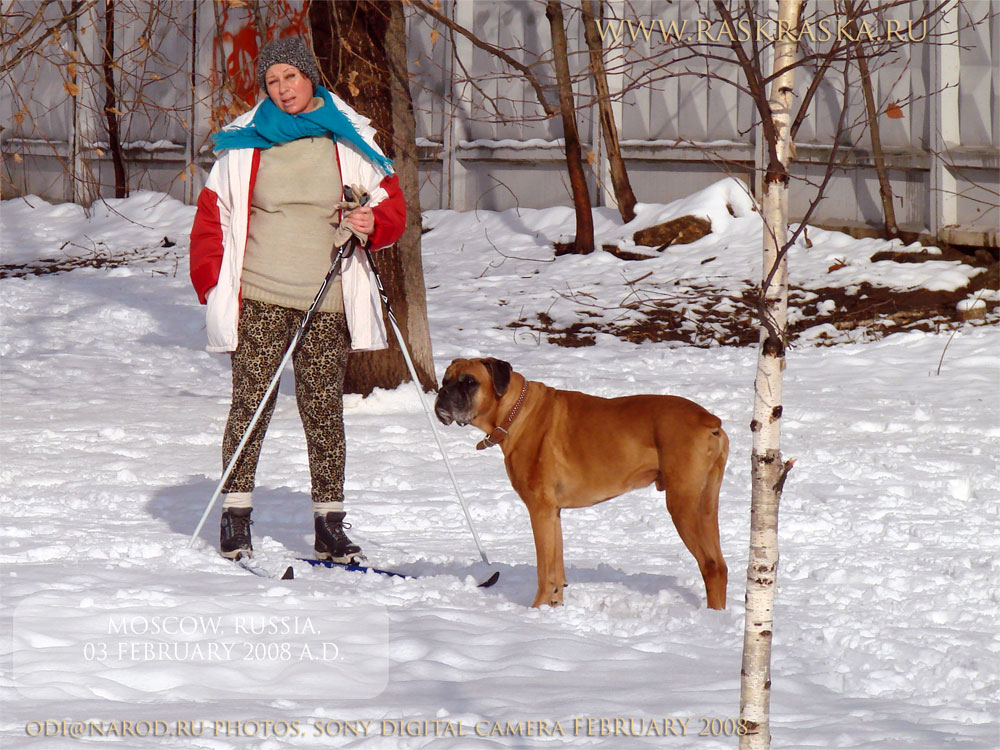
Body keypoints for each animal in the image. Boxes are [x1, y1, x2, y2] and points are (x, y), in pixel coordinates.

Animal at [434, 358, 732, 612]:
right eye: (445, 379)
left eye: (469, 381)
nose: (442, 392)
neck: (514, 413)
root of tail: (709, 419)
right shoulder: (552, 514)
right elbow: (556, 567)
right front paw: (554, 607)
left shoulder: (539, 511)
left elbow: (544, 569)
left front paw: (536, 610)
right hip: (707, 507)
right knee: (721, 565)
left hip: (682, 507)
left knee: (710, 565)